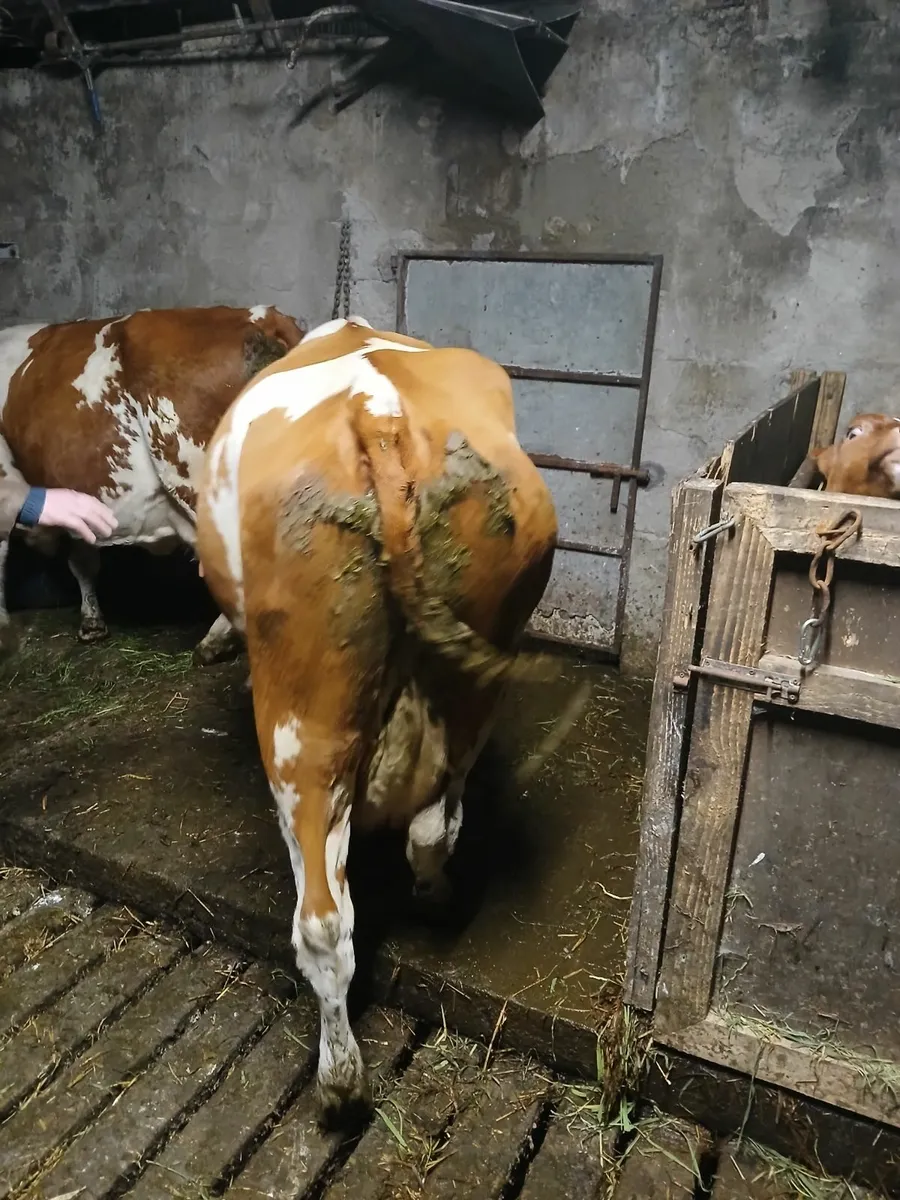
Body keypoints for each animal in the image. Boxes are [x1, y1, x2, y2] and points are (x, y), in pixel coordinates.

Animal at [195, 316, 557, 1127]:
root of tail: (377, 413)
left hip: (305, 720)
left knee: (323, 921)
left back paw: (339, 1081)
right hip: (472, 678)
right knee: (434, 827)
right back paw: (437, 897)